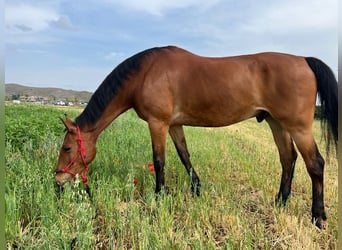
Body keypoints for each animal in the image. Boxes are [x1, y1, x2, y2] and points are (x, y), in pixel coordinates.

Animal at [54, 45, 338, 229]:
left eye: (66, 148)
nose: (57, 182)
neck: (145, 74)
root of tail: (303, 59)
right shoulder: (174, 125)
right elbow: (184, 155)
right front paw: (196, 188)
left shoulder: (158, 123)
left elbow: (159, 160)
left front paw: (159, 195)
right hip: (276, 123)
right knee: (288, 159)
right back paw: (280, 203)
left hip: (298, 127)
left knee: (315, 164)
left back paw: (318, 217)